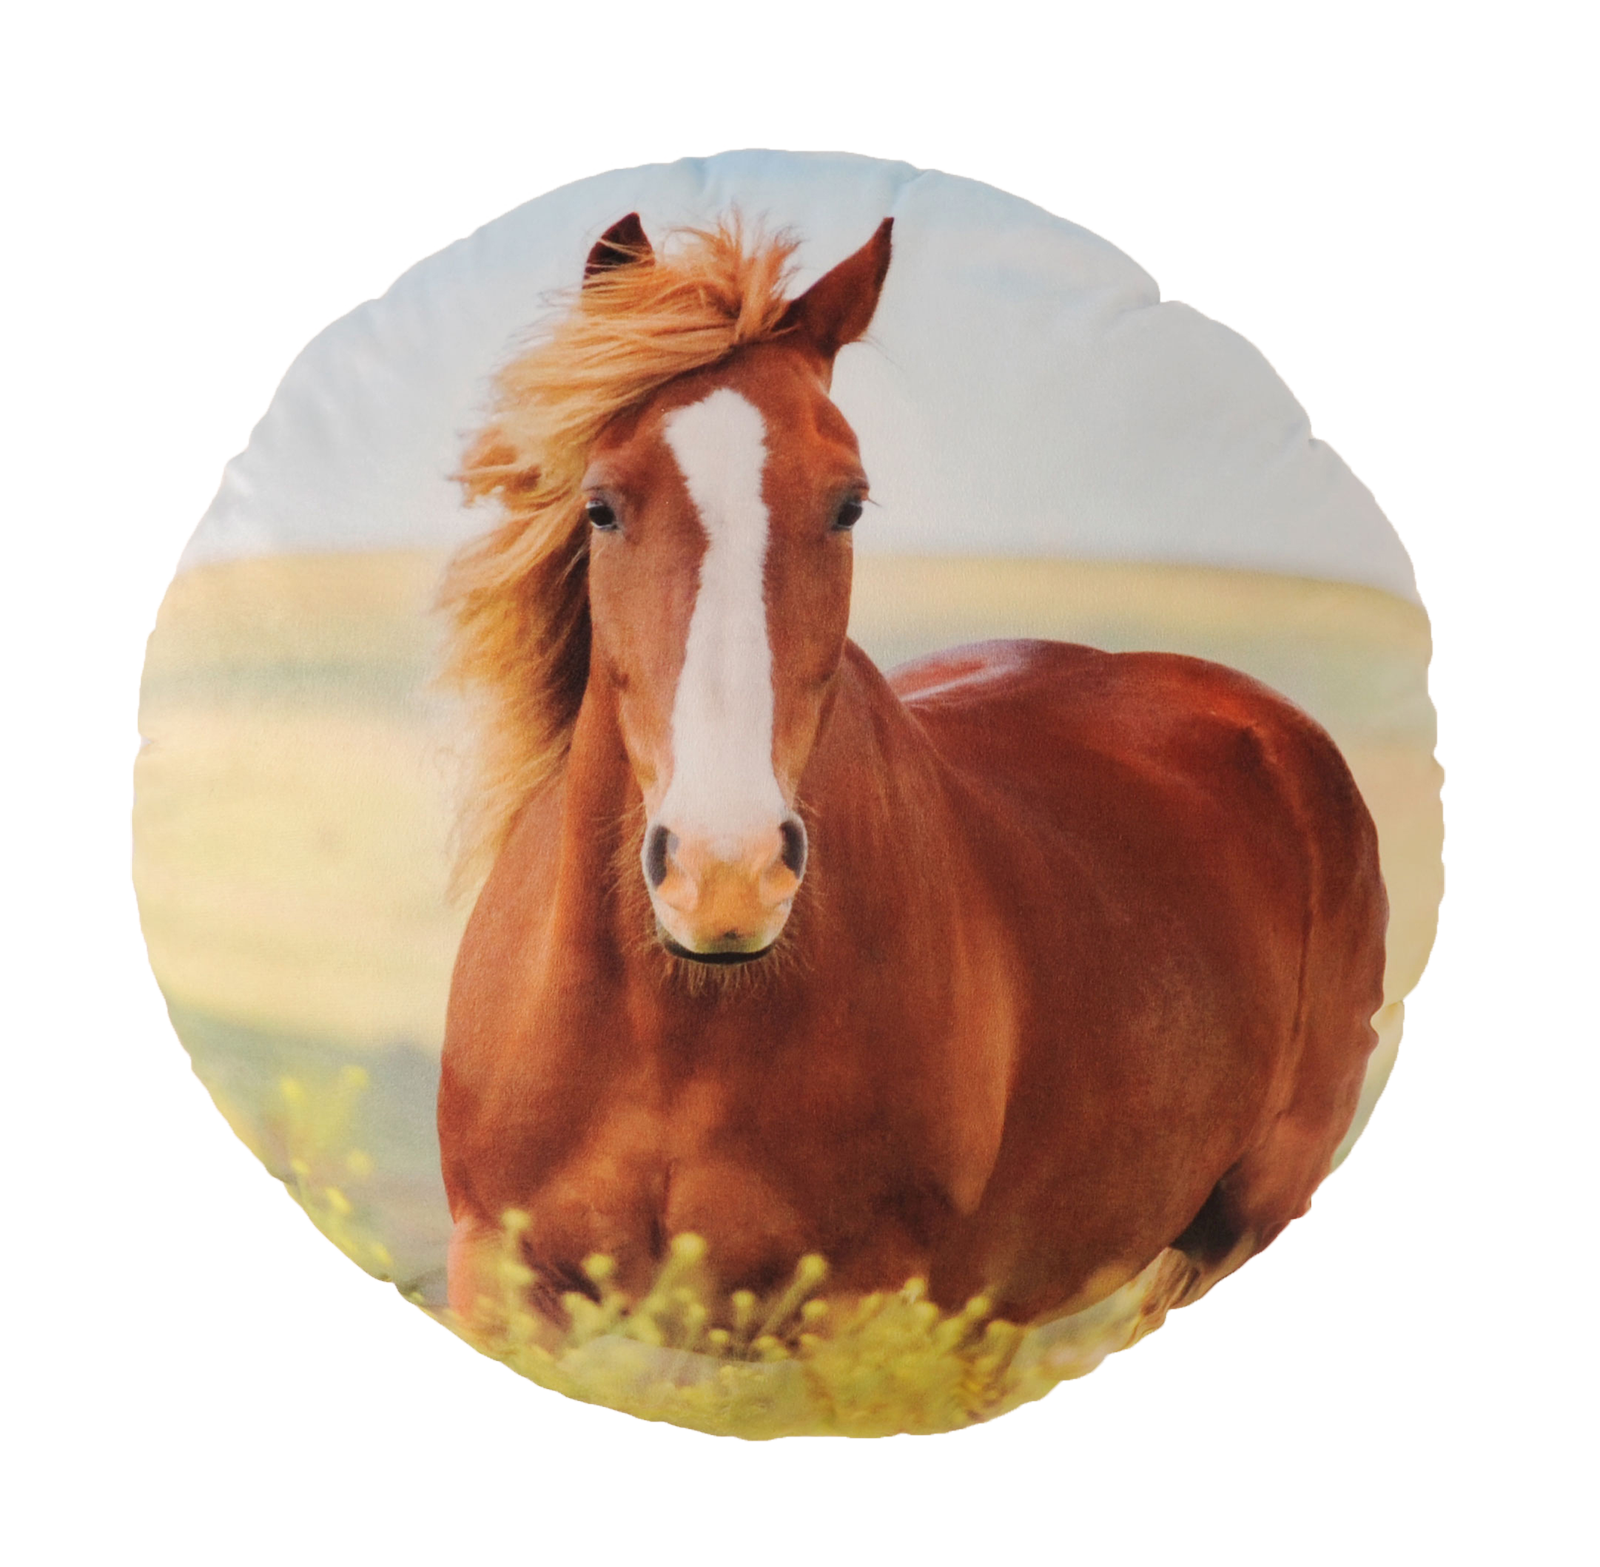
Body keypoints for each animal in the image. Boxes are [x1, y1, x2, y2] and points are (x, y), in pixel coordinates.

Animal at [436, 211, 1387, 1353]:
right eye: (601, 506)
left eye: (847, 504)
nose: (724, 876)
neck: (676, 1024)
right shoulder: (498, 1280)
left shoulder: (860, 1318)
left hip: (1223, 1235)